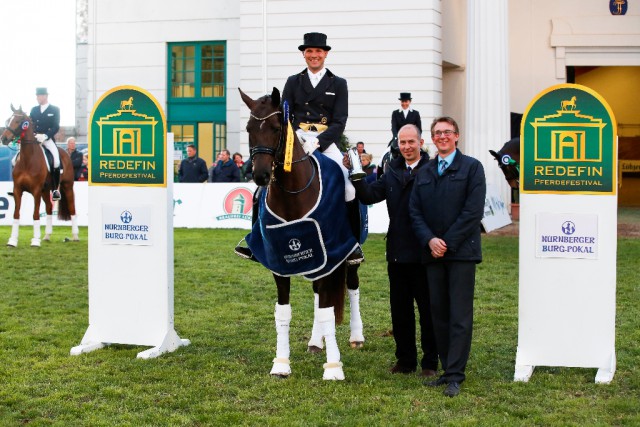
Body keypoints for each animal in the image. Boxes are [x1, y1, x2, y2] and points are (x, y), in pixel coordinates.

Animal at [0, 104, 78, 247]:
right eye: (9, 120)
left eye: (18, 121)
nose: (4, 139)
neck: (28, 159)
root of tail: (65, 153)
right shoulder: (18, 190)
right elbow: (16, 214)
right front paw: (12, 241)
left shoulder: (35, 190)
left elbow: (35, 215)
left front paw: (35, 241)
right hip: (45, 190)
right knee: (49, 208)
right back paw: (47, 236)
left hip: (67, 186)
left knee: (72, 209)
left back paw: (75, 236)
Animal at [239, 88, 364, 382]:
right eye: (249, 129)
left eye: (276, 128)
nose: (260, 175)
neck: (292, 195)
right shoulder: (280, 262)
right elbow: (284, 312)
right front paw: (281, 364)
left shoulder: (332, 254)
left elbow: (328, 312)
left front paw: (334, 368)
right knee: (319, 294)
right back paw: (316, 342)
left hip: (346, 256)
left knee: (352, 287)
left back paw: (356, 336)